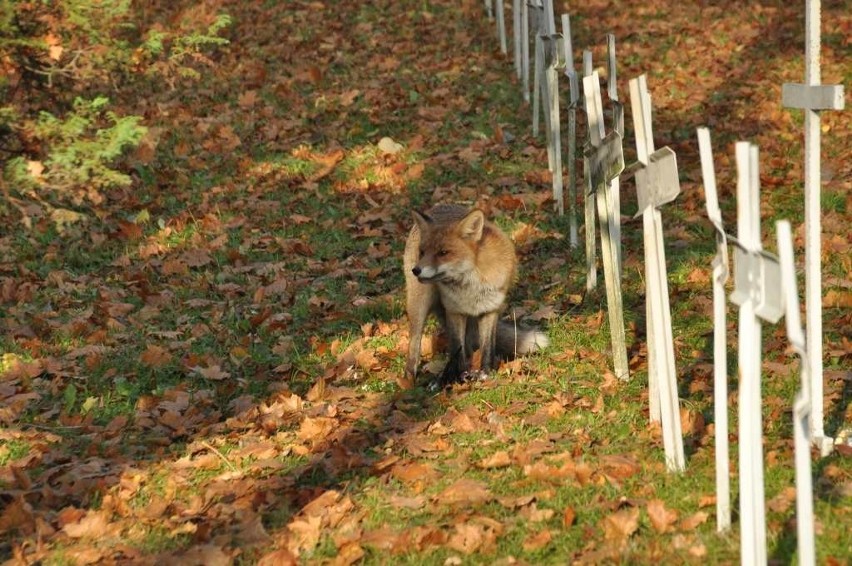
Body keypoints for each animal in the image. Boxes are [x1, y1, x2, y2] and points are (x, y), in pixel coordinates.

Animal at [404, 204, 548, 386]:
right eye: (422, 252)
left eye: (443, 253)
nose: (416, 270)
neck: (471, 286)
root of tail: (439, 206)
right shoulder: (454, 311)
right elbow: (456, 349)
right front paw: (456, 377)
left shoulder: (490, 309)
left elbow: (487, 348)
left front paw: (485, 374)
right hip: (419, 305)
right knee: (414, 346)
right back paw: (409, 380)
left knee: (469, 347)